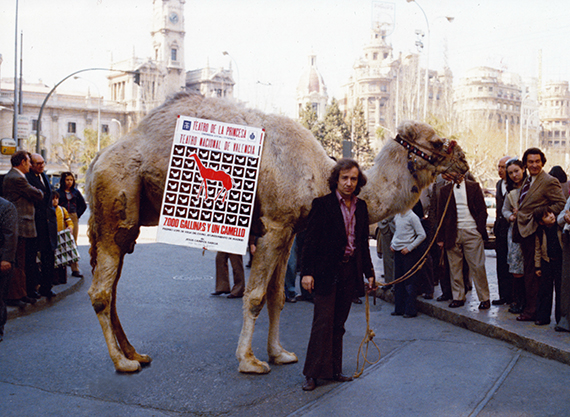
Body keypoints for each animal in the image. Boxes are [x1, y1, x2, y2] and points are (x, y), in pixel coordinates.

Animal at [85, 91, 466, 370]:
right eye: (436, 141)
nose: (463, 161)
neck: (321, 175)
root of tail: (96, 162)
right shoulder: (276, 225)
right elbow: (255, 296)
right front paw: (250, 361)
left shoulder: (292, 230)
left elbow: (277, 296)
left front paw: (280, 354)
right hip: (115, 202)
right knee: (102, 291)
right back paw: (122, 362)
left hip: (125, 222)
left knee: (113, 287)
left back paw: (135, 354)